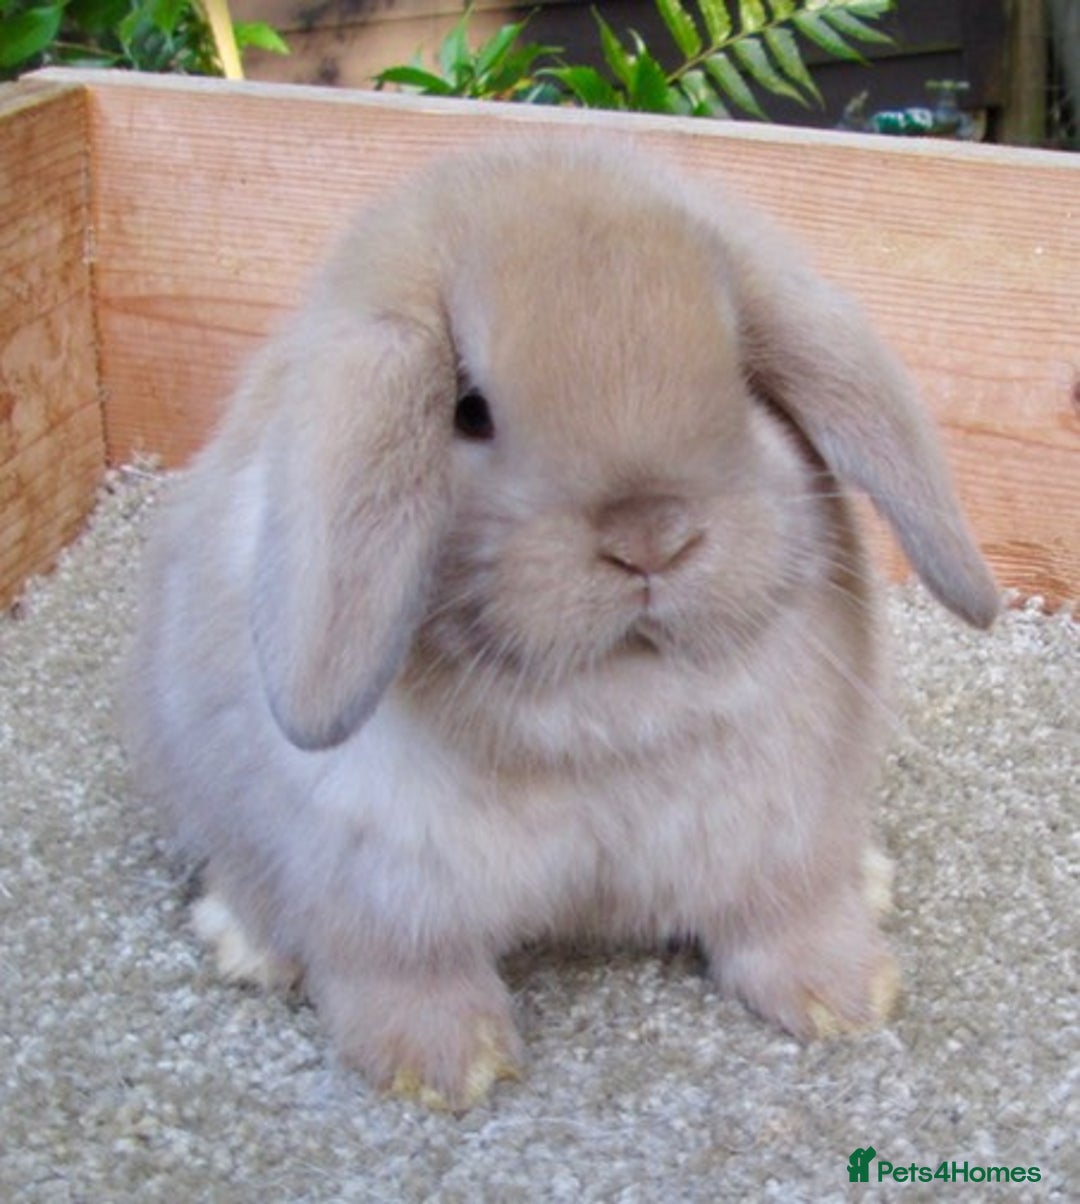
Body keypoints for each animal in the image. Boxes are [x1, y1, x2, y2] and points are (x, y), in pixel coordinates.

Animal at [122, 137, 999, 1111]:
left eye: (745, 380)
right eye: (468, 409)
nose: (651, 538)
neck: (613, 712)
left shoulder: (775, 840)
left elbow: (784, 918)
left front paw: (848, 998)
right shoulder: (379, 890)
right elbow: (401, 974)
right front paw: (446, 1069)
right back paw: (247, 945)